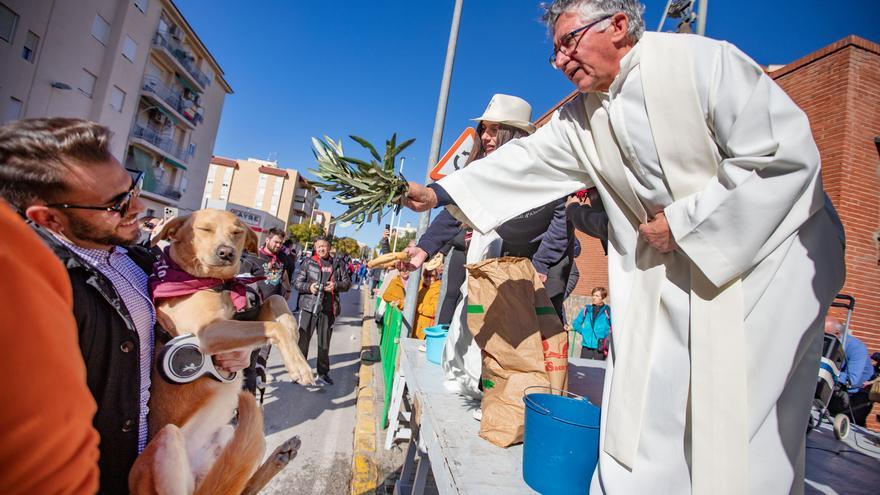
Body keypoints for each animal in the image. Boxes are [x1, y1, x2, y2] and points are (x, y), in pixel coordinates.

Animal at [127, 210, 312, 495]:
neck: (212, 283)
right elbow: (274, 326)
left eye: (237, 232)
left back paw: (281, 456)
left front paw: (293, 334)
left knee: (238, 487)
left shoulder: (242, 318)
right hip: (167, 439)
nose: (226, 253)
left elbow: (276, 302)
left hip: (228, 437)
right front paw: (299, 366)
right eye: (204, 229)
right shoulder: (209, 333)